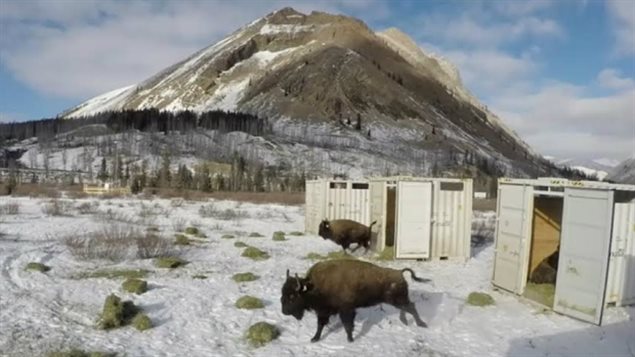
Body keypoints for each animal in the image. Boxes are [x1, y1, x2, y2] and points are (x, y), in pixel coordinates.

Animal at [280, 258, 430, 342]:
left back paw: (422, 324)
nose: (284, 312)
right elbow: (320, 325)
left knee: (411, 307)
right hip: (399, 300)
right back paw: (406, 321)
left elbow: (347, 324)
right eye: (283, 293)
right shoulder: (324, 311)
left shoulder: (346, 310)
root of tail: (399, 273)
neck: (313, 286)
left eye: (292, 296)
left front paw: (350, 339)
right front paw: (314, 339)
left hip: (398, 300)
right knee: (407, 308)